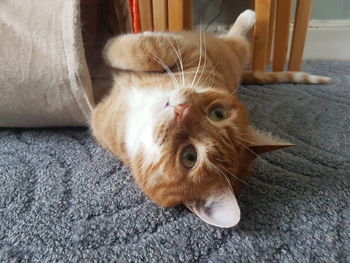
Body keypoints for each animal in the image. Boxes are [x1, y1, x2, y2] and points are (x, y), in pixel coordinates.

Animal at [91, 10, 330, 229]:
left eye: (190, 157)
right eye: (218, 114)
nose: (181, 110)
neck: (145, 108)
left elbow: (134, 47)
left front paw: (107, 47)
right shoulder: (191, 54)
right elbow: (146, 50)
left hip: (233, 47)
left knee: (238, 38)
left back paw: (248, 16)